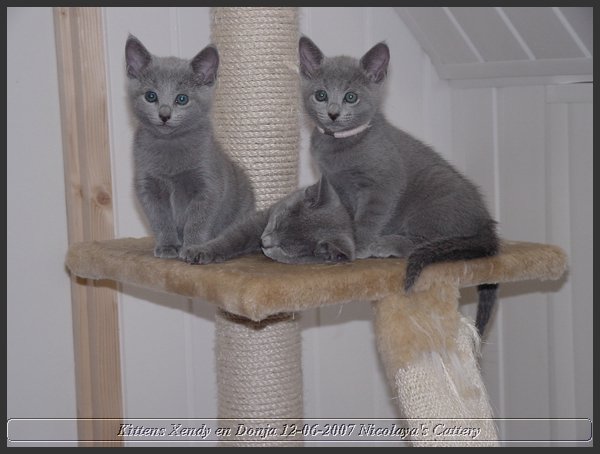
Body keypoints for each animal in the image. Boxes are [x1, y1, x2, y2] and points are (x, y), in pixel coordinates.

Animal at [125, 35, 254, 258]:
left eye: (182, 99)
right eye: (151, 96)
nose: (164, 114)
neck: (170, 144)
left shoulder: (208, 184)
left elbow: (198, 220)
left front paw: (193, 247)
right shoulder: (148, 186)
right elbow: (160, 219)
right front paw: (168, 245)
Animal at [298, 36, 500, 334]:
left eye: (351, 97)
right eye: (321, 95)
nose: (333, 114)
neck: (341, 145)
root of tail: (486, 223)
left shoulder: (383, 185)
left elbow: (368, 219)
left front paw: (358, 245)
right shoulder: (336, 186)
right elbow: (344, 217)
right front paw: (338, 243)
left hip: (432, 194)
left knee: (426, 241)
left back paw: (385, 244)